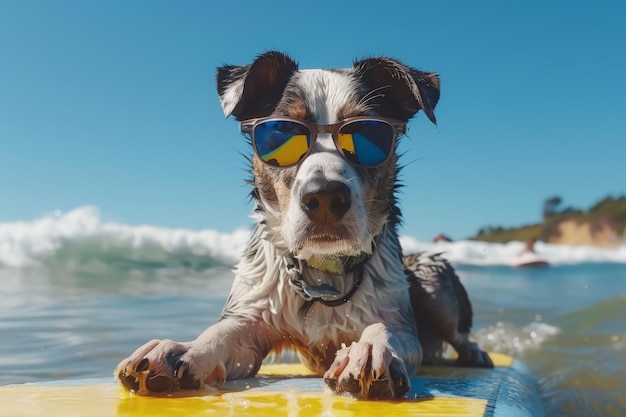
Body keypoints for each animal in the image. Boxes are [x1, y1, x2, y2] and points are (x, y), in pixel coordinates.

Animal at [114, 50, 490, 398]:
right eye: (282, 132)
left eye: (366, 133)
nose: (324, 197)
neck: (323, 271)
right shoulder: (253, 314)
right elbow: (220, 333)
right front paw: (182, 350)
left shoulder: (397, 313)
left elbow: (387, 329)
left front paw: (370, 349)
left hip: (430, 274)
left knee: (457, 333)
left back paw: (475, 354)